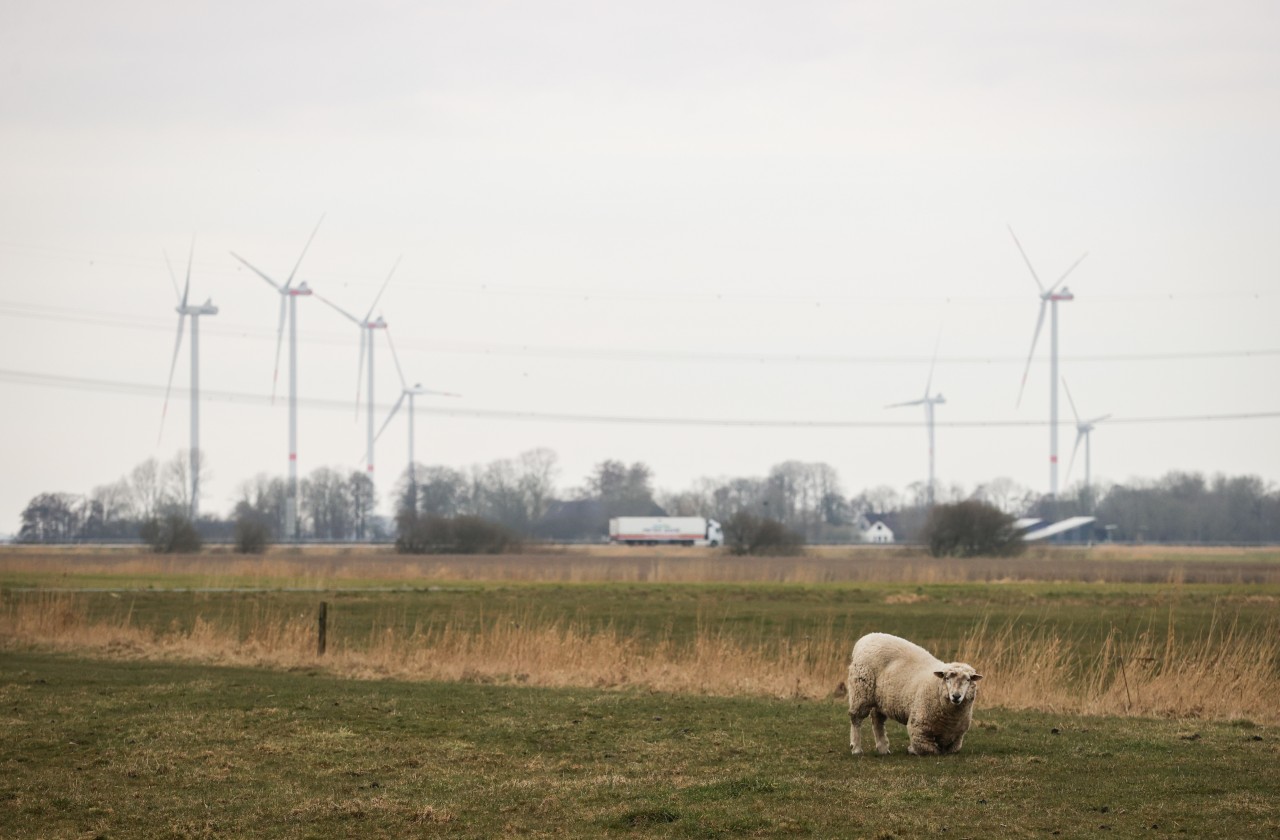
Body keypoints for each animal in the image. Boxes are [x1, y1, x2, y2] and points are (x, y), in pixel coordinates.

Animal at [849, 632, 977, 758]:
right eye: (947, 678)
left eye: (968, 680)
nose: (956, 696)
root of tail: (866, 638)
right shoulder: (919, 729)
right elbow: (930, 750)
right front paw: (912, 750)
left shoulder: (956, 736)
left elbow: (953, 750)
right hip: (861, 690)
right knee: (856, 718)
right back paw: (856, 748)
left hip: (881, 699)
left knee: (877, 720)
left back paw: (883, 748)